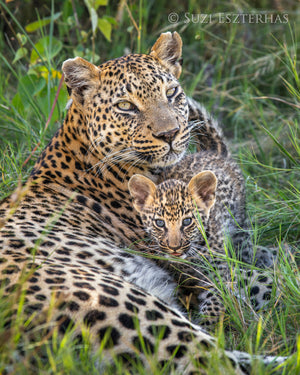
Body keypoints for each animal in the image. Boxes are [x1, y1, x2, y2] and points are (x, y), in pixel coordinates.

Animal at [0, 33, 286, 374]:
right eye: (126, 106)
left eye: (171, 93)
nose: (170, 134)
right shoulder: (191, 259)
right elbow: (266, 278)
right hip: (131, 305)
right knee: (215, 359)